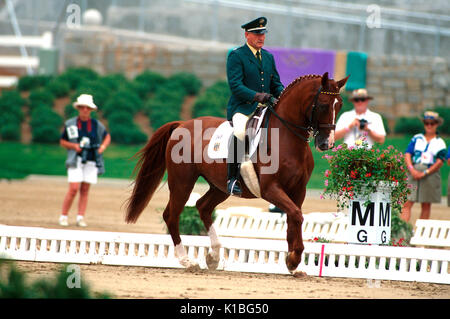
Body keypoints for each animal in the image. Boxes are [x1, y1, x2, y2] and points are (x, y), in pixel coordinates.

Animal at [125, 72, 348, 276]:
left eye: (340, 105)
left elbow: (294, 219)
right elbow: (296, 215)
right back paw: (188, 261)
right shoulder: (270, 189)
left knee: (203, 207)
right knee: (171, 215)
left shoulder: (298, 190)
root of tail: (182, 124)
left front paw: (294, 265)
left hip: (220, 187)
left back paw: (214, 256)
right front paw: (293, 260)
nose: (326, 143)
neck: (286, 139)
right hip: (182, 182)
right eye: (323, 105)